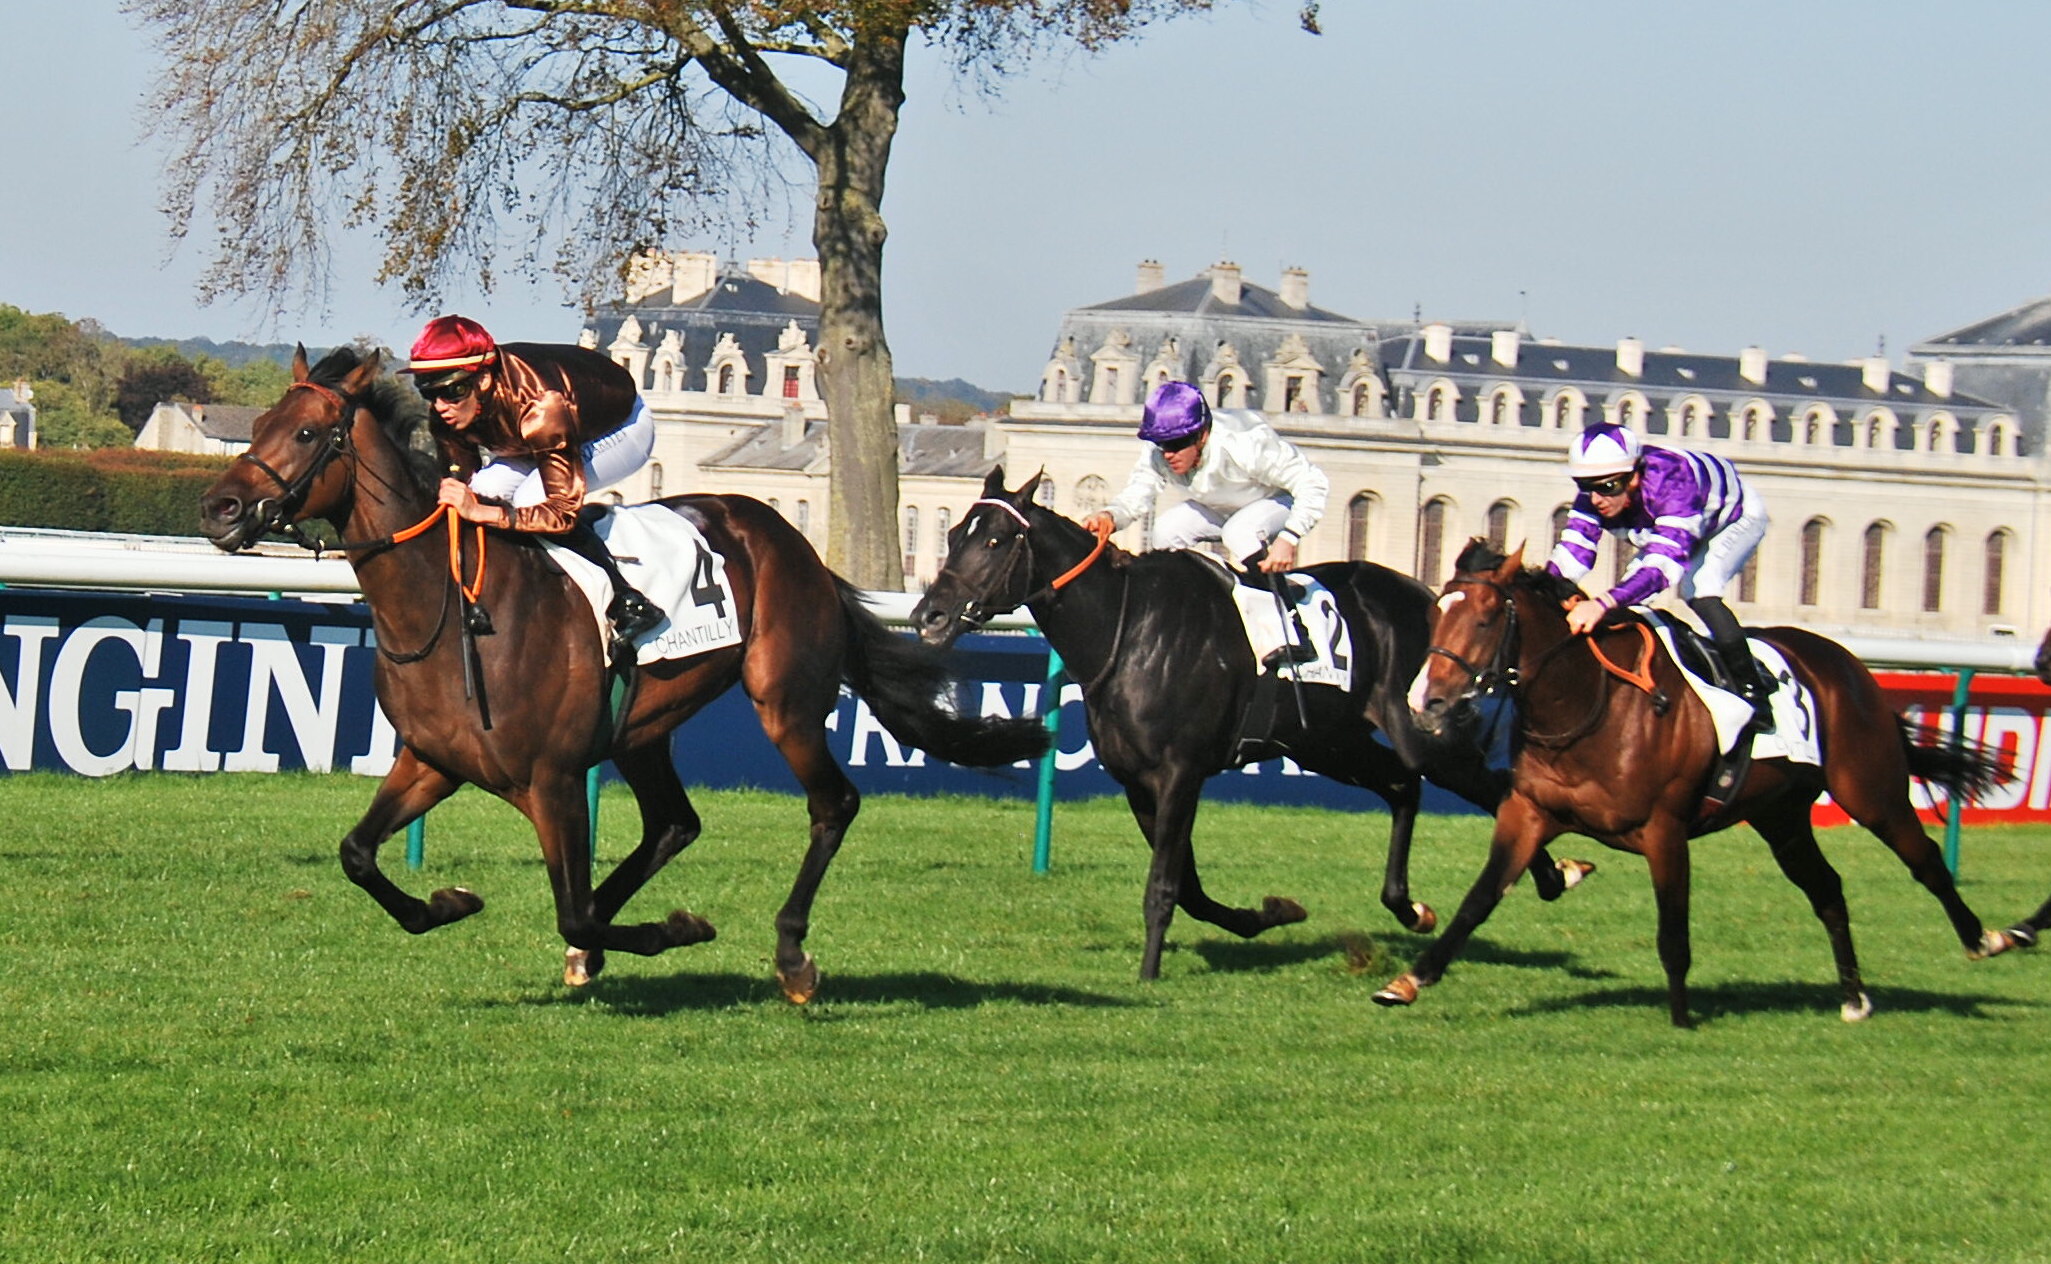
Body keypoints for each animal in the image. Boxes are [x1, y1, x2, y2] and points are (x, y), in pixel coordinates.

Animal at [202, 344, 1050, 997]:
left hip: (785, 698)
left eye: (307, 431)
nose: (218, 508)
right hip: (644, 726)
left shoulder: (551, 779)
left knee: (831, 803)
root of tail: (791, 540)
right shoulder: (434, 760)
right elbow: (357, 854)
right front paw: (451, 902)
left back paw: (790, 956)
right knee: (674, 822)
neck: (448, 606)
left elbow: (571, 906)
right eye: (259, 426)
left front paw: (677, 928)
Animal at [906, 469, 1591, 980]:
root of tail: (1432, 598)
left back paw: (1556, 873)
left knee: (1483, 783)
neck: (1128, 630)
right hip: (1330, 744)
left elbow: (1165, 885)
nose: (928, 615)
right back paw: (1410, 907)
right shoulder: (1138, 782)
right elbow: (1188, 887)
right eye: (957, 531)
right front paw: (1271, 913)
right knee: (1402, 785)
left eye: (995, 541)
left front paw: (1149, 974)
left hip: (1418, 725)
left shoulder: (1182, 772)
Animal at [1394, 537, 2018, 1025]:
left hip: (1871, 791)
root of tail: (1848, 666)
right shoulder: (1529, 813)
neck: (1590, 701)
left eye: (1483, 619)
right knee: (1827, 889)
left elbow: (1673, 932)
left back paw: (1986, 939)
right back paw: (1854, 998)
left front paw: (1681, 1019)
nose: (1425, 701)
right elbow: (1479, 899)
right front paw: (1410, 979)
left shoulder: (1665, 829)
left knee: (1925, 860)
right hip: (1782, 816)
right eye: (1434, 616)